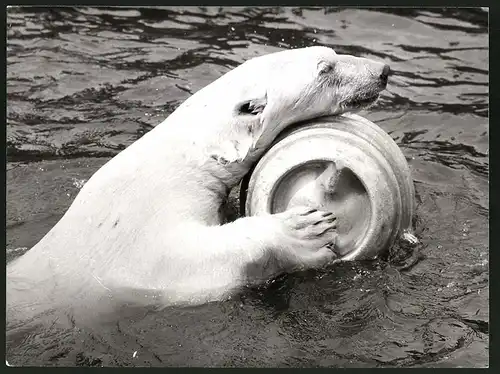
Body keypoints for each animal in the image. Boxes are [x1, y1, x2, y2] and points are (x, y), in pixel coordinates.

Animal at [6, 46, 390, 328]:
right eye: (325, 68)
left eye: (332, 53)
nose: (382, 71)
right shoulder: (134, 251)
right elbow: (190, 261)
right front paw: (302, 229)